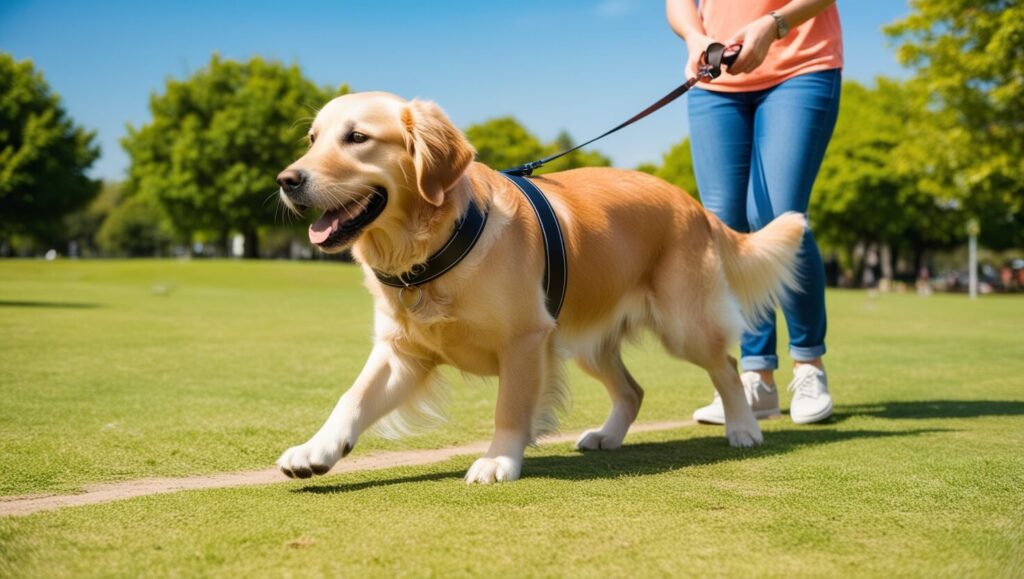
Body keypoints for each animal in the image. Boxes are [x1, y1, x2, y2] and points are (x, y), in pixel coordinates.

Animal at [276, 91, 802, 483]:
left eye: (357, 137)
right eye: (313, 138)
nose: (286, 179)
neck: (436, 245)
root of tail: (693, 204)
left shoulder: (524, 341)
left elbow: (509, 409)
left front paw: (498, 459)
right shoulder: (402, 351)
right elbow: (353, 397)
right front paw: (316, 449)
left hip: (682, 325)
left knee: (727, 366)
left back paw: (743, 428)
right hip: (584, 340)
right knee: (632, 391)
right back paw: (607, 436)